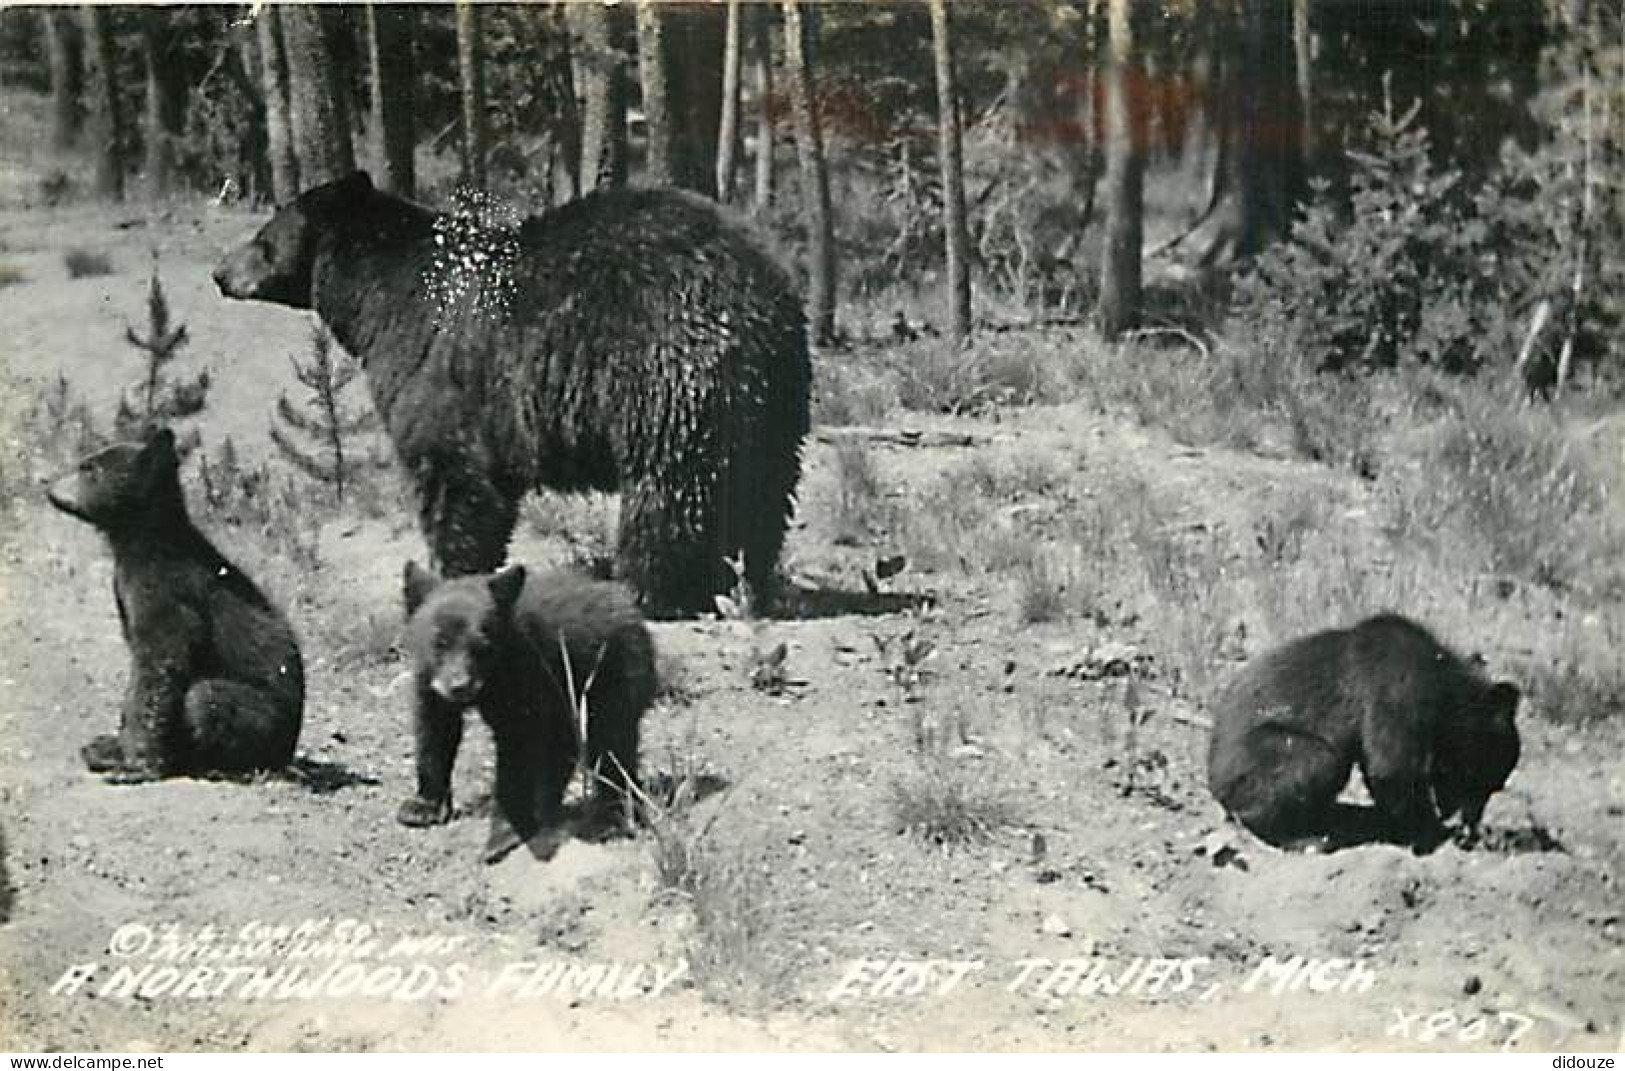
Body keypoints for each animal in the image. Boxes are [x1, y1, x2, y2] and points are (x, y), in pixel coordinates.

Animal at [46, 425, 305, 780]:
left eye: (89, 468)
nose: (47, 485)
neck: (141, 542)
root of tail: (288, 752)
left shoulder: (165, 590)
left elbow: (161, 663)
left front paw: (134, 765)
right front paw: (113, 746)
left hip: (266, 720)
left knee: (205, 697)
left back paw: (213, 766)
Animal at [216, 170, 812, 614]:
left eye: (263, 240)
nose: (221, 273)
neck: (379, 298)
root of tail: (765, 290)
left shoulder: (436, 369)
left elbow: (453, 476)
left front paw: (449, 573)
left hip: (667, 375)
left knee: (671, 489)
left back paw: (650, 588)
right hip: (771, 400)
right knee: (761, 490)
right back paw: (744, 580)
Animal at [399, 562, 653, 864]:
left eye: (482, 646)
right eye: (439, 642)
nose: (459, 686)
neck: (492, 679)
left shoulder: (527, 676)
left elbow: (519, 749)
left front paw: (501, 834)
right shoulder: (430, 684)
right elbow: (435, 731)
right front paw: (421, 807)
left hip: (613, 675)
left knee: (611, 744)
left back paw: (612, 813)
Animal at [1209, 614, 1521, 851]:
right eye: (1483, 782)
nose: (1472, 829)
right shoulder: (1398, 688)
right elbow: (1391, 766)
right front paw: (1436, 832)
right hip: (1257, 759)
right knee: (1317, 760)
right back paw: (1305, 838)